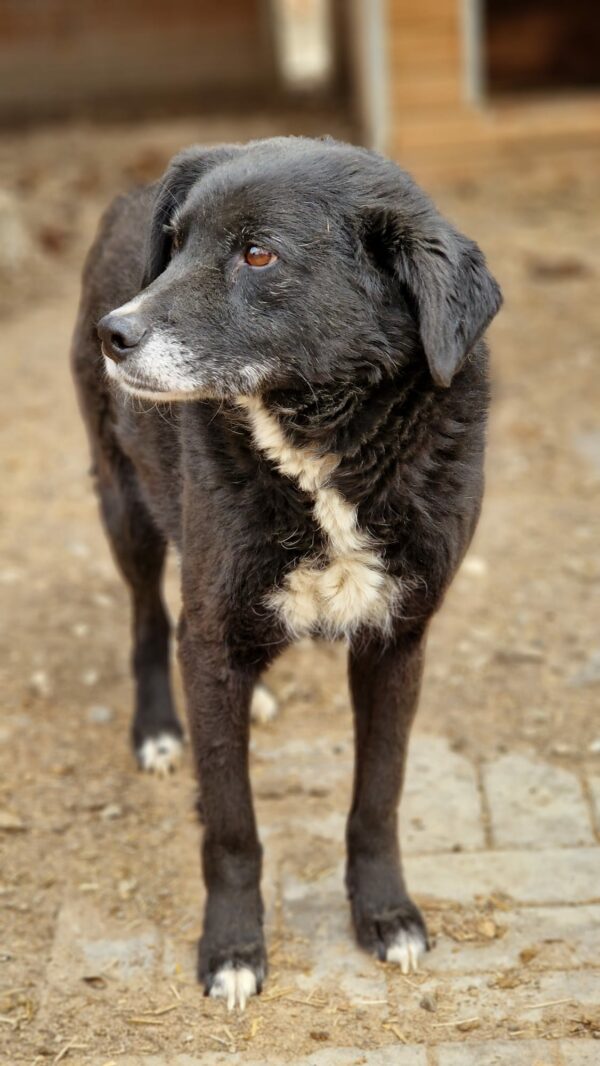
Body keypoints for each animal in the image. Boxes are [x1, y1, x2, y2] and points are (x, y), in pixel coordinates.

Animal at [71, 137, 503, 1010]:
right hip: (126, 507)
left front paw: (386, 914)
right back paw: (160, 728)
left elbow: (379, 796)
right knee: (148, 620)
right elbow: (232, 824)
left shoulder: (398, 640)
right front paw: (233, 948)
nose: (114, 334)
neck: (322, 444)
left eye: (259, 255)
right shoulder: (213, 631)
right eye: (177, 242)